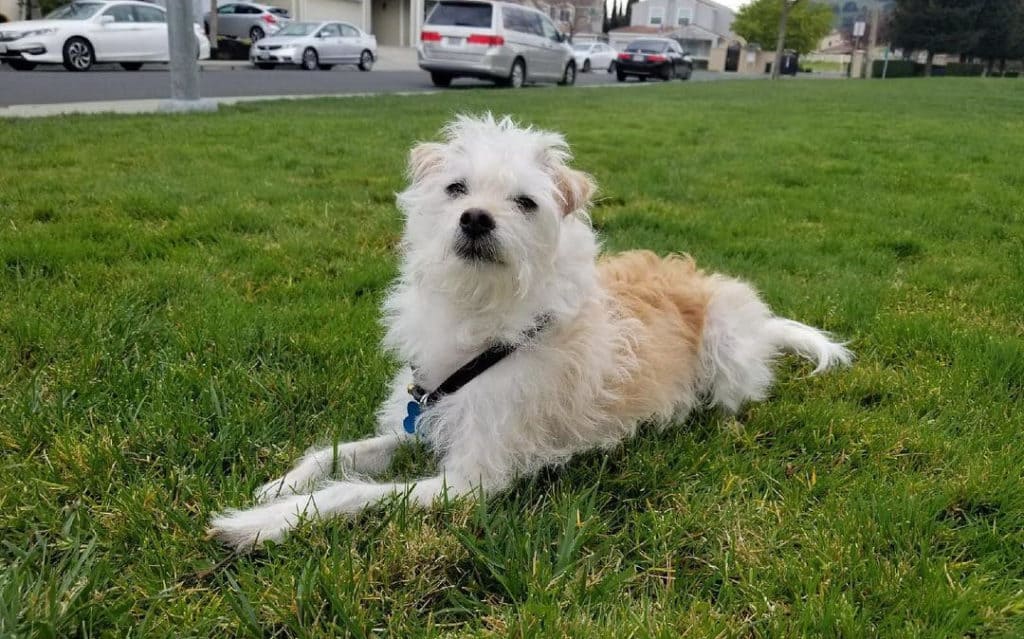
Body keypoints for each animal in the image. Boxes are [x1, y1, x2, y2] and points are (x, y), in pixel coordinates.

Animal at [205, 113, 847, 548]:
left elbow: (348, 492)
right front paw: (279, 486)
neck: (480, 310)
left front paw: (257, 524)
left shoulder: (470, 480)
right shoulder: (425, 416)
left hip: (726, 341)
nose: (475, 219)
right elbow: (336, 454)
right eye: (456, 189)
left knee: (735, 398)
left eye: (524, 201)